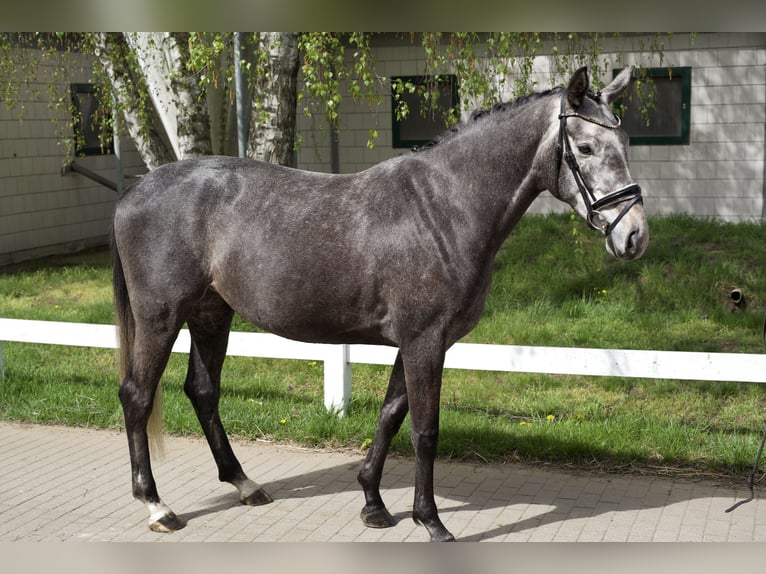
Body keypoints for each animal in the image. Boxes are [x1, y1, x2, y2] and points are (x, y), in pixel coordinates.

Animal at [111, 66, 647, 542]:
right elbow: (425, 431)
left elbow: (391, 415)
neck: (444, 207)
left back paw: (245, 484)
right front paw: (430, 521)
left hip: (211, 314)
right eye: (585, 147)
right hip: (160, 318)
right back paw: (157, 506)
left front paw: (373, 503)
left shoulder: (420, 342)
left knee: (203, 392)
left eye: (625, 143)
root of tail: (135, 190)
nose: (635, 235)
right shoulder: (424, 341)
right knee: (137, 395)